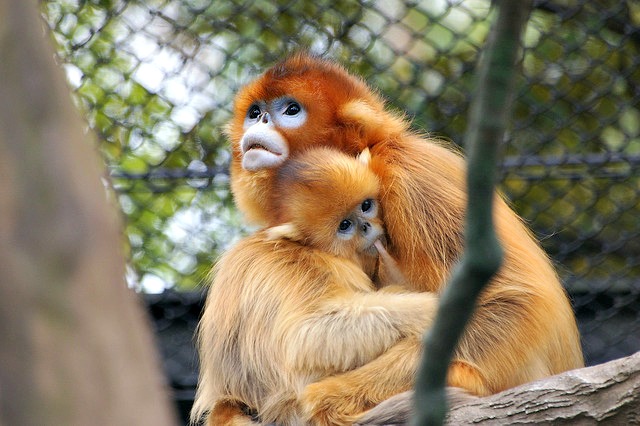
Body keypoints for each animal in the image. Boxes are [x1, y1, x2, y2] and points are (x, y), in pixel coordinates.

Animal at [191, 146, 439, 425]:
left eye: (366, 206)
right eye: (345, 225)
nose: (366, 226)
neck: (307, 247)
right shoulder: (300, 267)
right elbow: (306, 335)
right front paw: (432, 307)